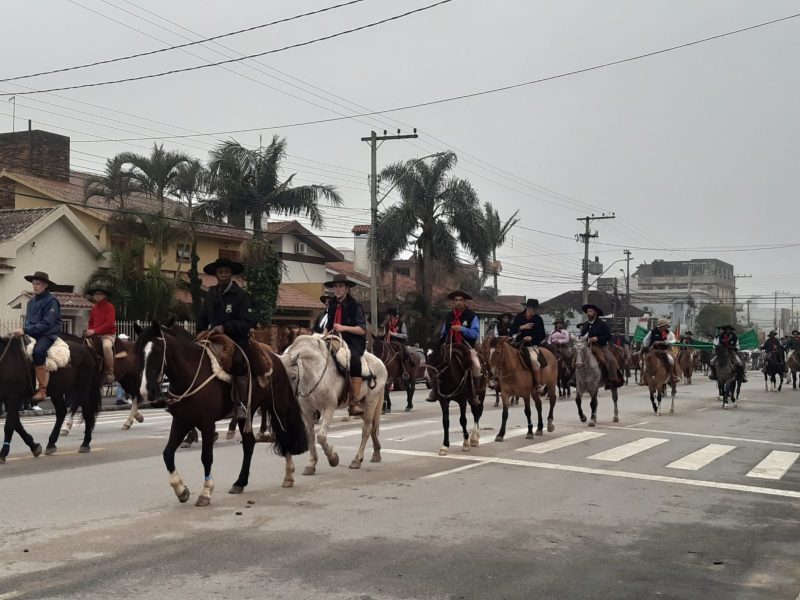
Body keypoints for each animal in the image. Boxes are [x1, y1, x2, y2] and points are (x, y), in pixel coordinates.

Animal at [134, 322, 306, 504]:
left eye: (158, 350)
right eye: (138, 352)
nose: (147, 391)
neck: (190, 374)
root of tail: (275, 357)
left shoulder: (207, 423)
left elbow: (206, 457)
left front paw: (205, 492)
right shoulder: (182, 421)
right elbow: (167, 454)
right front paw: (181, 489)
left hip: (277, 406)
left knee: (285, 433)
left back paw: (288, 475)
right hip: (246, 414)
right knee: (249, 443)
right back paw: (240, 482)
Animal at [282, 336, 388, 476]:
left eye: (293, 376)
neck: (314, 373)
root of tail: (380, 362)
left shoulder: (328, 408)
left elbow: (321, 437)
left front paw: (333, 458)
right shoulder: (307, 412)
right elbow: (311, 437)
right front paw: (311, 464)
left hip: (371, 402)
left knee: (366, 430)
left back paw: (357, 460)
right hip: (362, 407)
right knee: (371, 427)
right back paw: (376, 453)